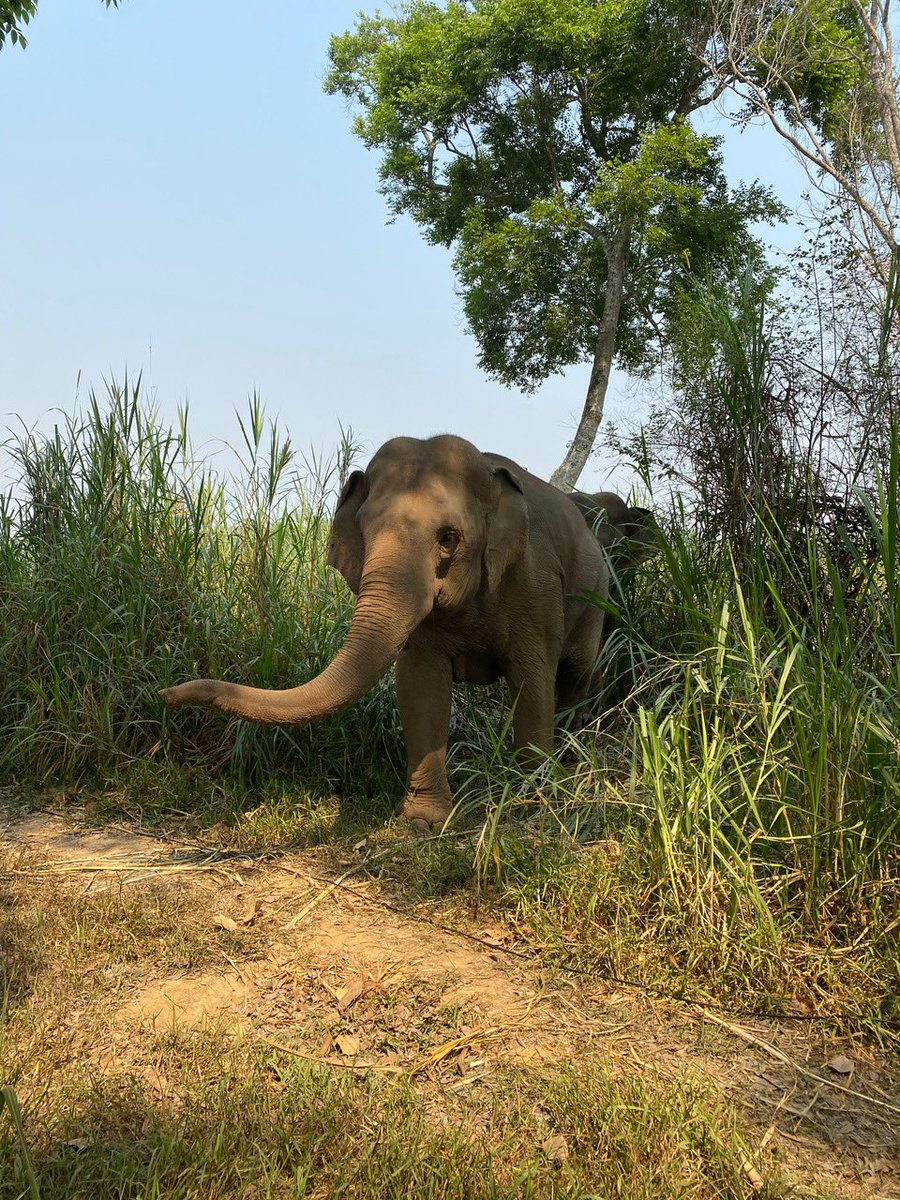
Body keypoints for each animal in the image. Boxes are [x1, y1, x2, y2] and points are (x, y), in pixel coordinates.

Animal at [161, 435, 657, 830]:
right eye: (364, 532)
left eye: (448, 538)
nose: (166, 694)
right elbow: (419, 686)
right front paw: (426, 823)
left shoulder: (534, 588)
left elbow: (531, 683)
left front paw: (530, 802)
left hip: (595, 592)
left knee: (577, 674)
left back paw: (571, 759)